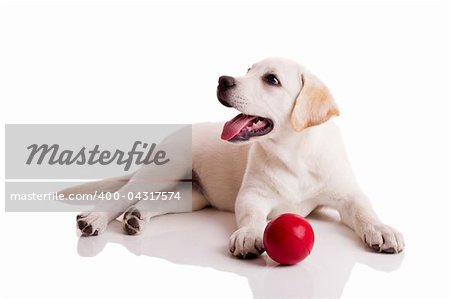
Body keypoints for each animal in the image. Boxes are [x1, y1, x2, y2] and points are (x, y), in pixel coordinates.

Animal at [67, 58, 404, 258]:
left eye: (272, 79)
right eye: (248, 69)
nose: (222, 80)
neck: (294, 152)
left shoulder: (347, 195)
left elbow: (364, 210)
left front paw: (382, 229)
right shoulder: (252, 195)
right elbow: (252, 216)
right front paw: (249, 235)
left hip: (193, 195)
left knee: (153, 201)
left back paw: (137, 217)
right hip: (164, 170)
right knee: (122, 196)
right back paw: (95, 219)